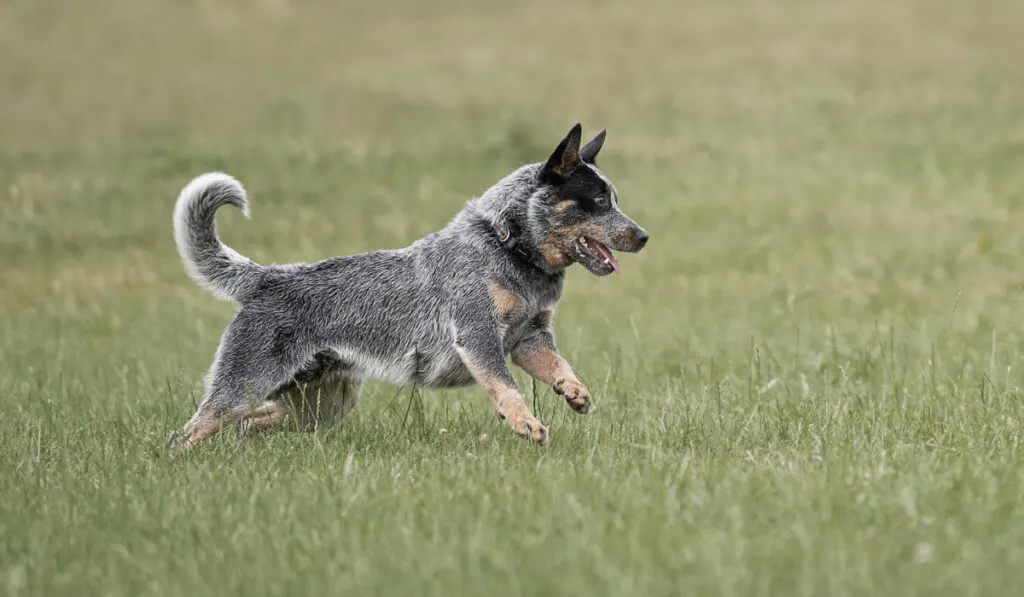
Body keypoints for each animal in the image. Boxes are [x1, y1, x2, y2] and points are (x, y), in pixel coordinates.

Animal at [166, 124, 647, 452]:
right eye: (598, 201)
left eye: (616, 199)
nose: (643, 236)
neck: (509, 246)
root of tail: (267, 277)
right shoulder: (477, 335)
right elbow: (505, 386)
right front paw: (526, 424)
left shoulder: (530, 338)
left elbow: (560, 365)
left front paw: (575, 392)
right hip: (245, 384)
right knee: (187, 432)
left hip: (324, 403)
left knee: (251, 422)